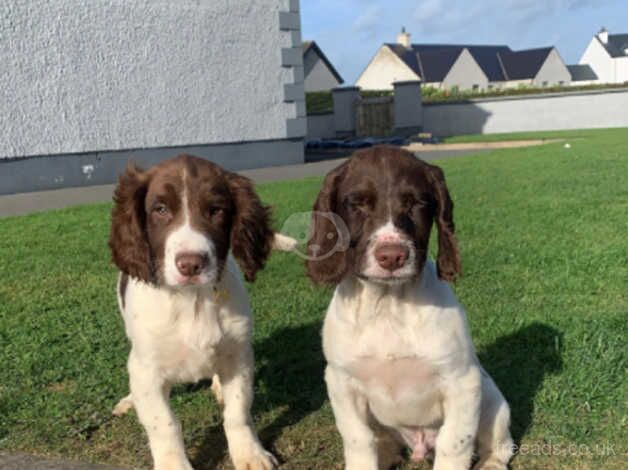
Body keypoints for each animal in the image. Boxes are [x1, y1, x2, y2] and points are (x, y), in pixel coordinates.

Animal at [108, 154, 292, 470]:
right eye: (160, 209)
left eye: (216, 210)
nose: (191, 264)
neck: (191, 298)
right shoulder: (148, 368)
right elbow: (164, 423)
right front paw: (173, 465)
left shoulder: (238, 356)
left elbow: (238, 411)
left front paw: (249, 453)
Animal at [306, 147, 512, 470]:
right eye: (357, 203)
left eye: (417, 203)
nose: (392, 256)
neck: (388, 306)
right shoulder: (341, 381)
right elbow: (358, 438)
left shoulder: (463, 383)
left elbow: (454, 443)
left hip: (492, 399)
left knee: (500, 444)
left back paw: (490, 463)